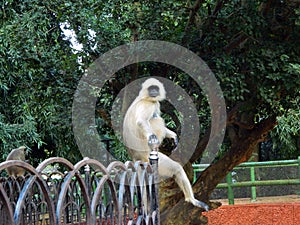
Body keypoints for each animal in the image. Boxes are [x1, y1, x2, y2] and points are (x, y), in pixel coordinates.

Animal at [122, 78, 209, 211]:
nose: (153, 92)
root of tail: (135, 156)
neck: (144, 97)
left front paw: (174, 136)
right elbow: (141, 121)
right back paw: (191, 199)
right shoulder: (150, 104)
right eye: (151, 88)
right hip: (151, 158)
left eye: (155, 88)